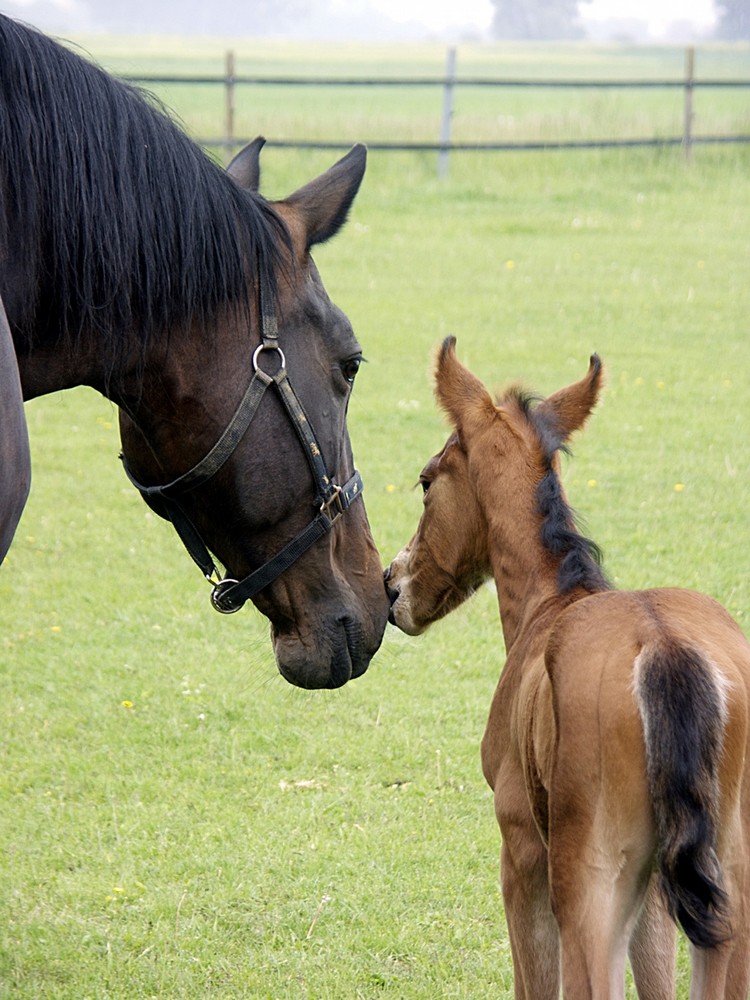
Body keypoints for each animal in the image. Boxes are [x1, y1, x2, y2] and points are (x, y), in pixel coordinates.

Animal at [388, 340, 750, 996]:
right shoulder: (655, 897)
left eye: (426, 481)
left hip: (587, 883)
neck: (550, 601)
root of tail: (664, 648)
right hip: (725, 891)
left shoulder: (521, 848)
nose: (391, 585)